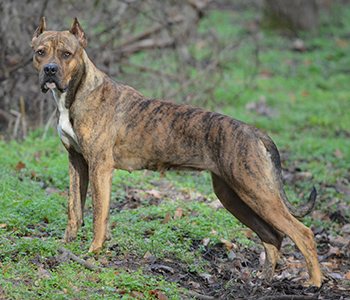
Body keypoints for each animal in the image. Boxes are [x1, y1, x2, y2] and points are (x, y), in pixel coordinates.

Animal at [31, 17, 322, 288]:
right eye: (41, 52)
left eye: (67, 54)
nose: (50, 70)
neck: (77, 93)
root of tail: (254, 132)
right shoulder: (76, 162)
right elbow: (74, 211)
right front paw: (66, 246)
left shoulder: (99, 167)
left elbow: (99, 216)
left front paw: (94, 252)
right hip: (234, 195)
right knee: (273, 236)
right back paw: (264, 279)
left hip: (257, 192)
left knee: (303, 233)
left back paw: (315, 282)